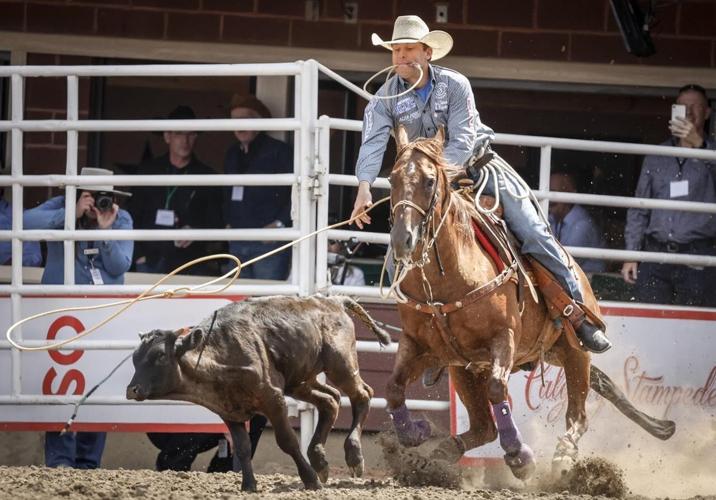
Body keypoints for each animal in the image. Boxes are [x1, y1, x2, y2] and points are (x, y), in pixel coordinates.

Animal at [384, 126, 676, 480]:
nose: (403, 239)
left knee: (577, 416)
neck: (449, 277)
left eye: (429, 181)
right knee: (483, 427)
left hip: (576, 352)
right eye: (391, 179)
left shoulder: (504, 339)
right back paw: (439, 455)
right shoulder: (418, 345)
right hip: (465, 369)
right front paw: (414, 433)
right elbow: (393, 387)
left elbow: (498, 389)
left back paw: (563, 458)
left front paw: (520, 457)